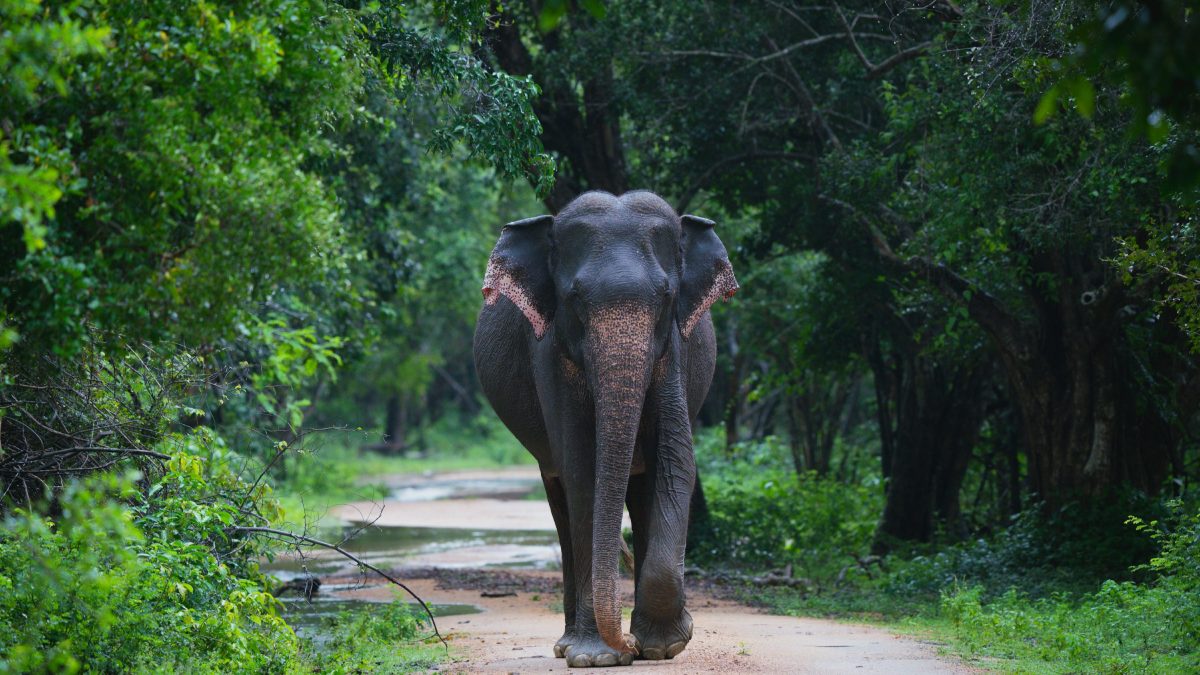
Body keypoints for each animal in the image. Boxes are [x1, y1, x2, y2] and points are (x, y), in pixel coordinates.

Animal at [473, 190, 738, 667]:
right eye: (575, 297)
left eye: (666, 295)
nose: (626, 647)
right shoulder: (550, 354)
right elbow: (583, 469)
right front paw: (597, 658)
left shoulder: (673, 349)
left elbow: (675, 461)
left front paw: (664, 646)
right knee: (561, 499)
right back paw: (567, 646)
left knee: (642, 489)